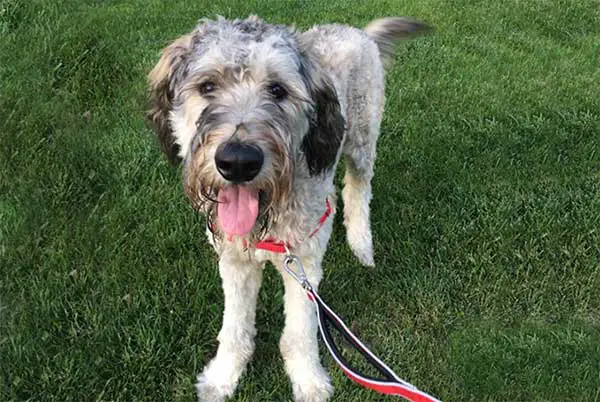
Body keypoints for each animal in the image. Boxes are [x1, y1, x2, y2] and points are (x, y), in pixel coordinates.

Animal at [148, 14, 428, 402]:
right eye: (208, 86)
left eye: (278, 90)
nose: (238, 162)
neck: (268, 217)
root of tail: (357, 32)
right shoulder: (235, 263)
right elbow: (234, 328)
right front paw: (223, 376)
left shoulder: (304, 265)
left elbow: (300, 332)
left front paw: (308, 380)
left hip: (361, 141)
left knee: (358, 189)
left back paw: (361, 245)